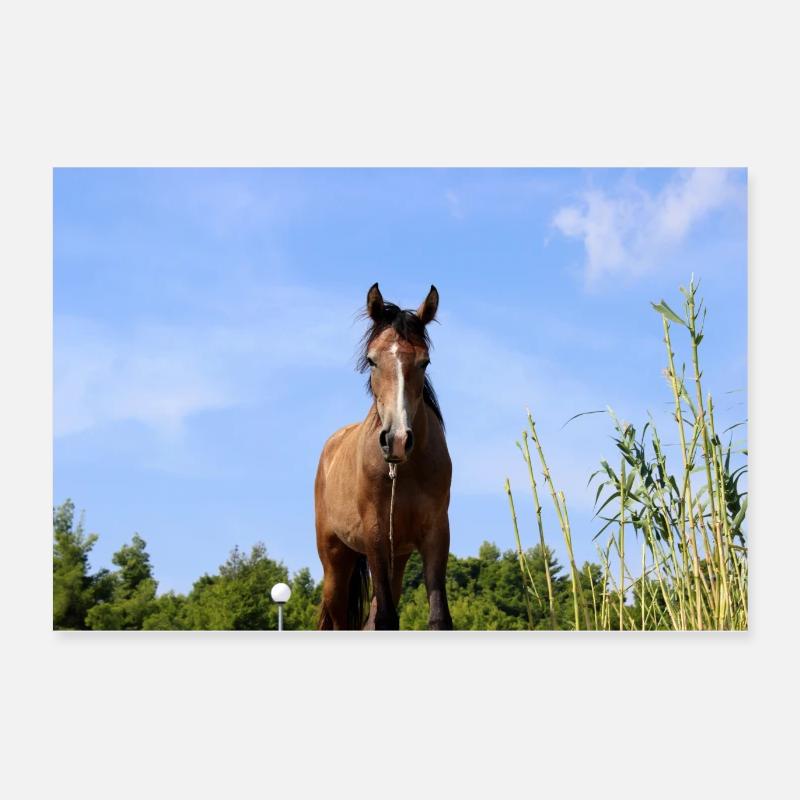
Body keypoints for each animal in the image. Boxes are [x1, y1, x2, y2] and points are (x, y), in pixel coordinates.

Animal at [315, 283, 453, 630]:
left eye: (424, 362)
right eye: (372, 360)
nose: (397, 439)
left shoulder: (436, 534)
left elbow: (438, 617)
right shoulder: (374, 535)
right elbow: (387, 619)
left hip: (396, 559)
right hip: (335, 561)